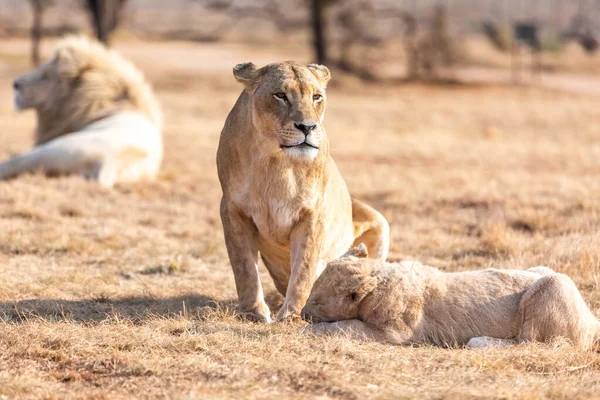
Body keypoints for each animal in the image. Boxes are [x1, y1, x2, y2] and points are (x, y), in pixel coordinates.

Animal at [218, 61, 392, 322]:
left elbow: (304, 270)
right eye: (280, 95)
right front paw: (253, 313)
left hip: (379, 221)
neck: (275, 161)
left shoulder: (313, 214)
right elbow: (244, 268)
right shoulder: (233, 209)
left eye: (316, 97)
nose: (307, 127)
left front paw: (291, 315)